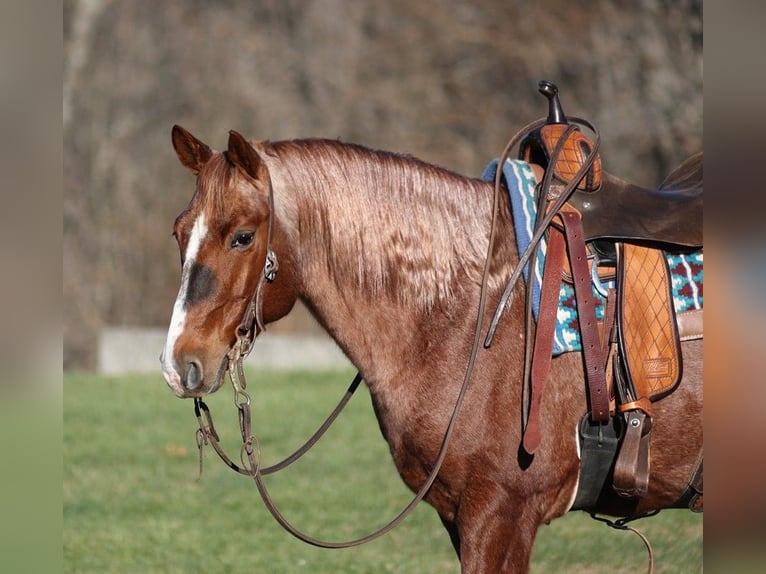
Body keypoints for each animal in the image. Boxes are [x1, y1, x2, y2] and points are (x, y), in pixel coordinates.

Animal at [162, 124, 708, 572]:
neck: (469, 314)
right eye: (179, 232)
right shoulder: (459, 515)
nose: (177, 364)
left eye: (242, 236)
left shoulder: (502, 513)